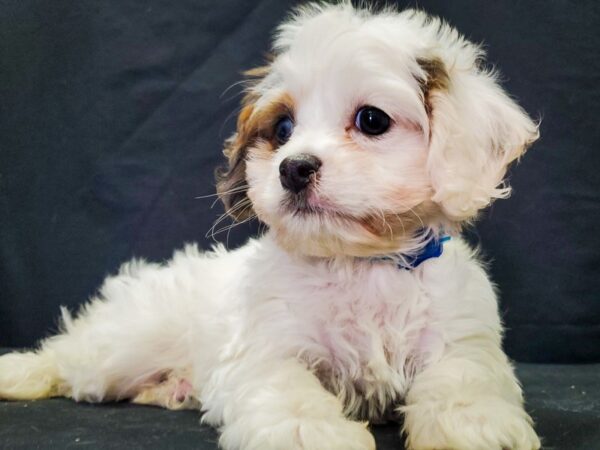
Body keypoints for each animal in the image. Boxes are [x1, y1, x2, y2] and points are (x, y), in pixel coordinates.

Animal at [0, 3, 540, 450]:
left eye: (372, 120)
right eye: (282, 129)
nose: (293, 167)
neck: (359, 262)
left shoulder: (460, 336)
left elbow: (464, 376)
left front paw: (472, 423)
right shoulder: (267, 346)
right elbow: (285, 386)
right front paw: (308, 432)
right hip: (127, 343)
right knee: (72, 353)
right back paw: (21, 371)